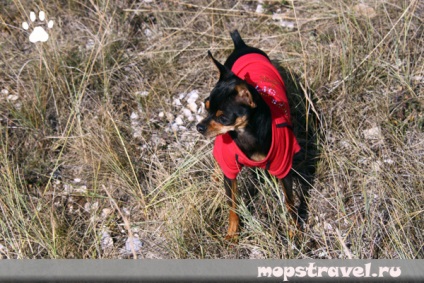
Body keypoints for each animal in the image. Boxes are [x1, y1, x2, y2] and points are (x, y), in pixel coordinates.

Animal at [196, 30, 302, 241]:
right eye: (206, 106)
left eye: (223, 117)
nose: (199, 127)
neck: (246, 135)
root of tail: (241, 45)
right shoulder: (230, 172)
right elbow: (232, 205)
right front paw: (232, 233)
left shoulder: (284, 170)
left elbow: (290, 203)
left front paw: (295, 232)